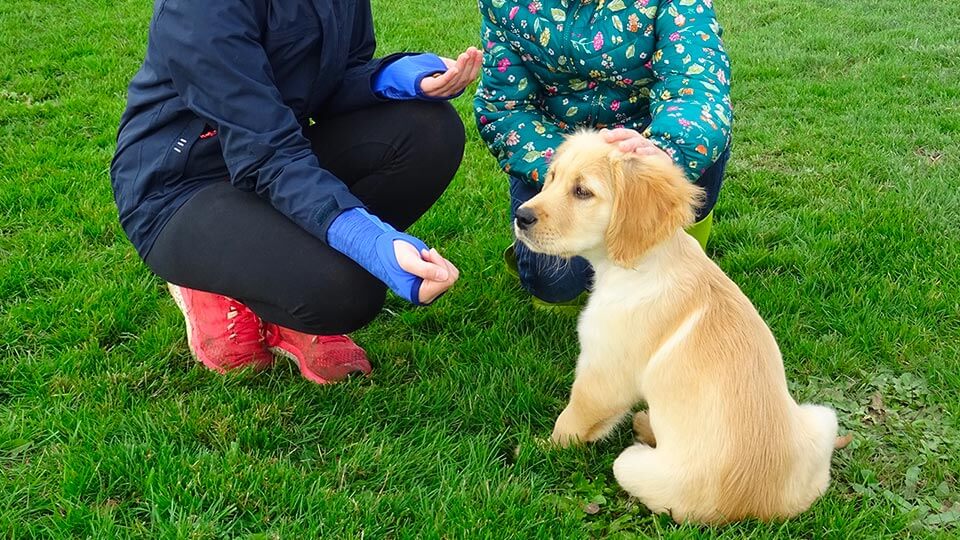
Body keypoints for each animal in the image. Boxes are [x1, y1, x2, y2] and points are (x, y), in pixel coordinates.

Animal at [516, 131, 848, 524]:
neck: (643, 263)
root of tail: (758, 511)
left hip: (628, 466)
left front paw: (538, 449)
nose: (520, 216)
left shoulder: (602, 375)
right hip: (822, 416)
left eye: (582, 191)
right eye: (552, 178)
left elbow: (571, 422)